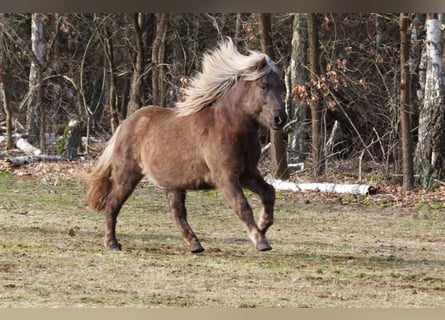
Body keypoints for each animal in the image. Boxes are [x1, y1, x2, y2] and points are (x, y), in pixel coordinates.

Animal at [86, 38, 286, 252]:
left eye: (281, 86)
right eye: (263, 86)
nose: (280, 119)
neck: (230, 125)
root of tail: (125, 124)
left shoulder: (247, 173)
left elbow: (268, 192)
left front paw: (263, 227)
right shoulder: (226, 177)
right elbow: (242, 205)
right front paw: (260, 240)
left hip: (173, 184)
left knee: (177, 213)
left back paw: (195, 245)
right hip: (127, 176)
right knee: (113, 204)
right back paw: (112, 243)